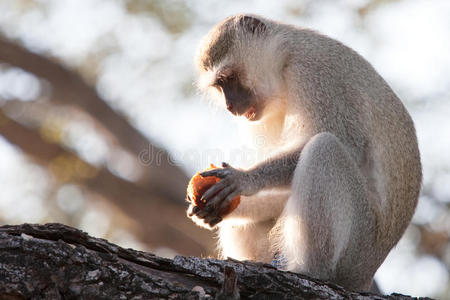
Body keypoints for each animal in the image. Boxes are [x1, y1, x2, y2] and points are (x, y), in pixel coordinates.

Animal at [186, 13, 422, 290]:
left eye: (229, 78)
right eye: (219, 86)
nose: (230, 106)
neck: (285, 59)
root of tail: (365, 276)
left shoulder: (317, 73)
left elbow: (344, 143)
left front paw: (245, 178)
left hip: (359, 247)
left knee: (325, 148)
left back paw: (310, 270)